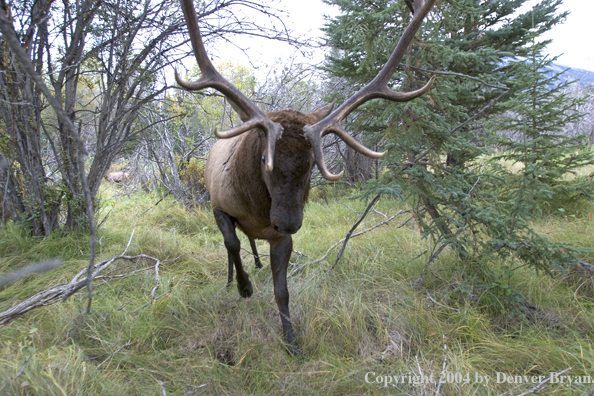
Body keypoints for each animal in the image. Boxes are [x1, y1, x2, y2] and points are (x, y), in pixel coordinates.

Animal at [176, 0, 434, 354]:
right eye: (264, 158)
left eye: (312, 162)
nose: (287, 221)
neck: (259, 213)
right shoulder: (218, 206)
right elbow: (230, 243)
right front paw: (244, 288)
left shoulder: (282, 239)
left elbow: (282, 291)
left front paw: (292, 341)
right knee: (233, 248)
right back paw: (233, 280)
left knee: (250, 246)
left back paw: (256, 265)